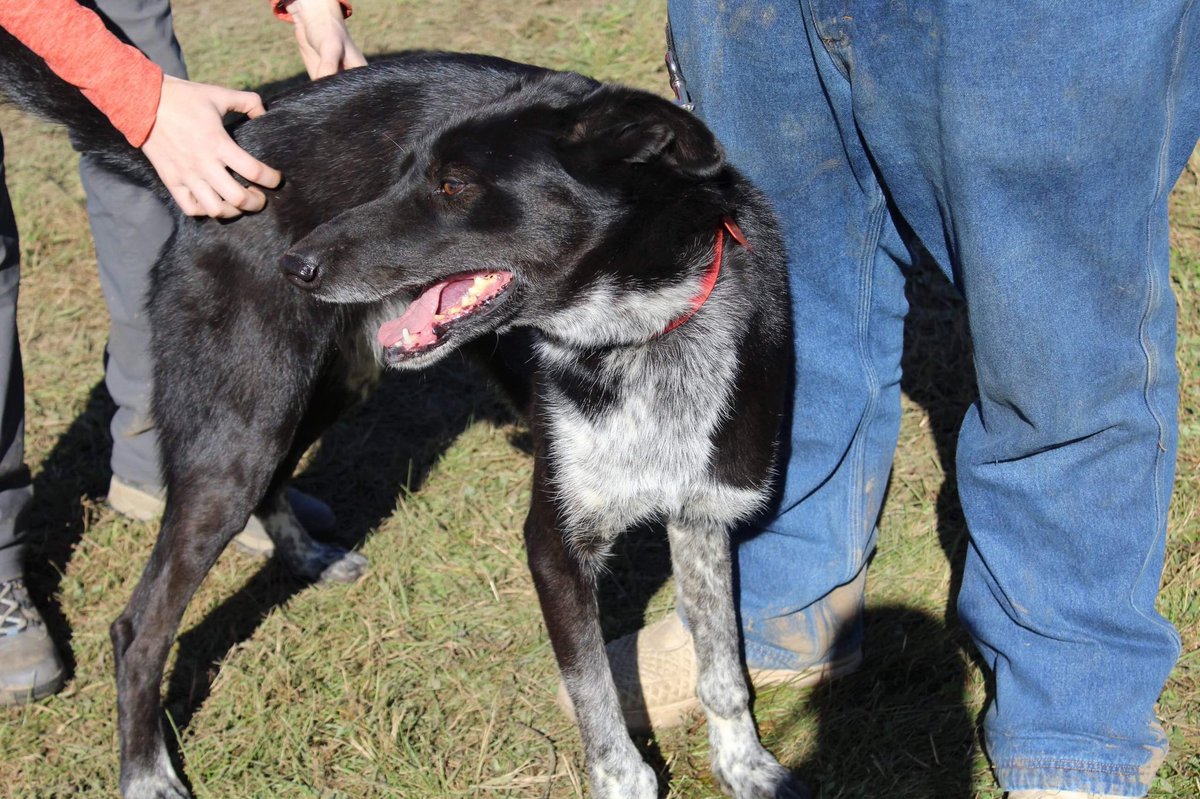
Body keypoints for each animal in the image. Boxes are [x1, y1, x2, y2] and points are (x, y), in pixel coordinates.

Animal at [4, 31, 806, 796]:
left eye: (452, 186)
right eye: (403, 174)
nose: (298, 265)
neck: (642, 337)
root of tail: (226, 147)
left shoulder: (703, 513)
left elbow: (723, 667)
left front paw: (746, 765)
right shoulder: (554, 546)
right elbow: (602, 719)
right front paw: (633, 777)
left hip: (322, 389)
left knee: (272, 482)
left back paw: (310, 556)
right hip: (241, 428)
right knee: (138, 627)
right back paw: (144, 771)